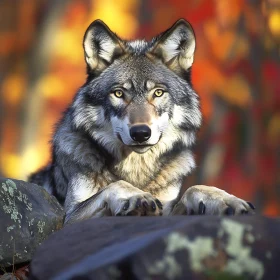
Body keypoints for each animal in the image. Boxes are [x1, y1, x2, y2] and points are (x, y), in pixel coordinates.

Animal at [29, 18, 255, 224]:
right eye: (119, 93)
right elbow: (116, 185)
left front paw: (225, 200)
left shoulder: (168, 207)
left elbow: (195, 188)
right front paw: (135, 196)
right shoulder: (68, 217)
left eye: (158, 93)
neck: (135, 170)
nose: (140, 133)